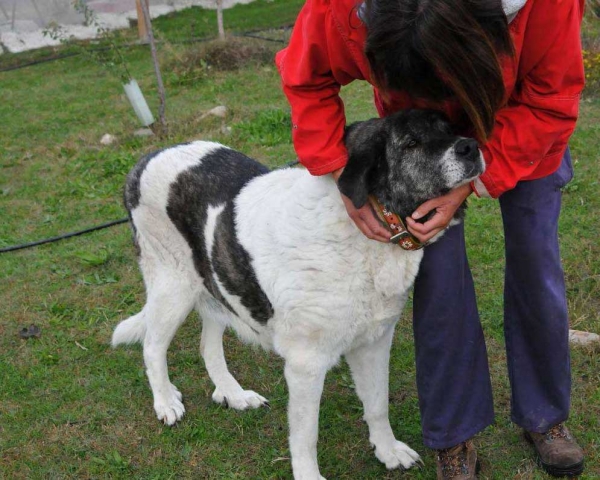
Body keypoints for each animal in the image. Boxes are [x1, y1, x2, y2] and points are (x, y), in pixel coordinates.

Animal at [112, 109, 486, 480]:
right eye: (411, 143)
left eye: (448, 129)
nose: (470, 147)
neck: (365, 236)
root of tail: (146, 159)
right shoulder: (306, 364)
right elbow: (307, 436)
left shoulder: (374, 342)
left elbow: (378, 403)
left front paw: (388, 451)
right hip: (173, 285)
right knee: (152, 346)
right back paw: (165, 402)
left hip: (218, 283)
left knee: (207, 344)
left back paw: (233, 394)